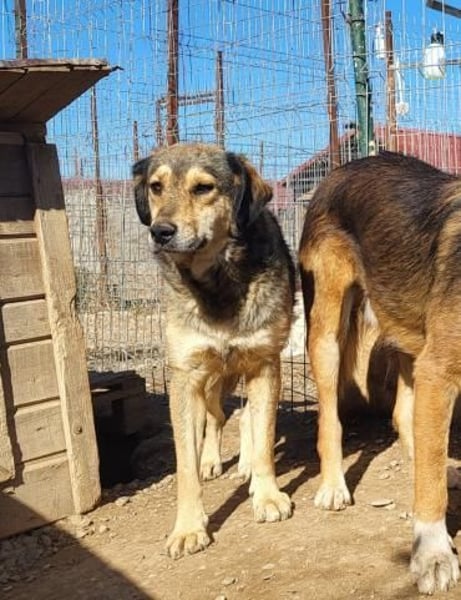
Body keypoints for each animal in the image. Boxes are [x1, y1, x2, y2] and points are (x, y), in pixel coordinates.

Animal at [133, 143, 295, 559]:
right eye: (156, 187)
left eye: (203, 188)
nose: (160, 232)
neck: (216, 283)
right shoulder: (185, 376)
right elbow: (185, 465)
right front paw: (188, 527)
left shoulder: (264, 364)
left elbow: (265, 437)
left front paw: (267, 496)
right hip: (210, 380)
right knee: (217, 416)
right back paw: (212, 461)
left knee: (246, 417)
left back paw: (248, 469)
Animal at [299, 151, 461, 594]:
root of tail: (345, 167)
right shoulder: (440, 371)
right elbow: (431, 493)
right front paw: (432, 554)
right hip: (328, 330)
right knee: (330, 420)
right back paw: (333, 485)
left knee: (405, 418)